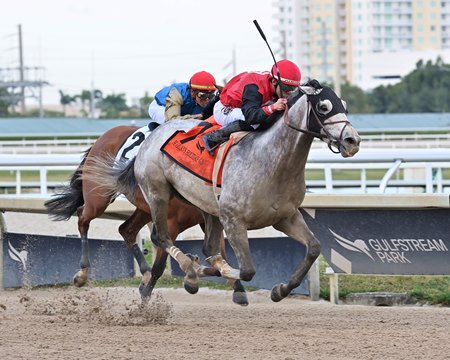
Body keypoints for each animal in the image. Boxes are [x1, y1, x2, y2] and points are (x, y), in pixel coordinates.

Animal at [44, 125, 248, 306]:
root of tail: (105, 135)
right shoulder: (171, 223)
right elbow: (160, 262)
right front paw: (148, 294)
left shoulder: (208, 220)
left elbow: (220, 259)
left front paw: (236, 289)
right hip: (98, 198)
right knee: (82, 218)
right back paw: (82, 273)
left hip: (143, 209)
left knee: (126, 229)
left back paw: (145, 273)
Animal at [85, 80, 362, 302]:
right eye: (324, 107)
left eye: (345, 106)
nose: (353, 141)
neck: (271, 163)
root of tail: (152, 136)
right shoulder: (234, 220)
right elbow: (247, 270)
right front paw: (206, 274)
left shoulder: (285, 217)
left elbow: (313, 249)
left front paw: (280, 290)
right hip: (156, 194)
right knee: (158, 237)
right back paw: (187, 271)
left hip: (205, 207)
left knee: (203, 247)